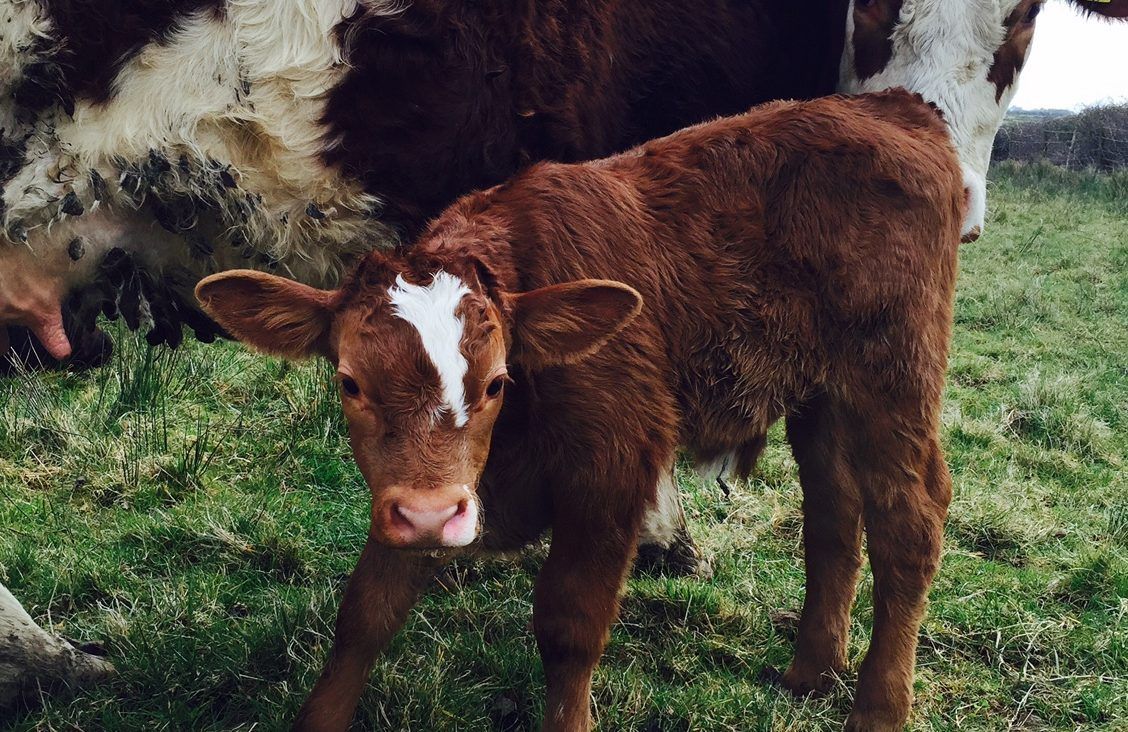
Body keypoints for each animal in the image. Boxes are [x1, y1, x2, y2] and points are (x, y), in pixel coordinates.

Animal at [196, 89, 965, 732]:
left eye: (496, 382)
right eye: (350, 382)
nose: (431, 514)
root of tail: (889, 104)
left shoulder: (611, 468)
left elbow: (571, 623)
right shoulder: (417, 492)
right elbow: (365, 610)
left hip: (894, 379)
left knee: (909, 523)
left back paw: (879, 707)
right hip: (823, 395)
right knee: (834, 515)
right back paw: (812, 671)